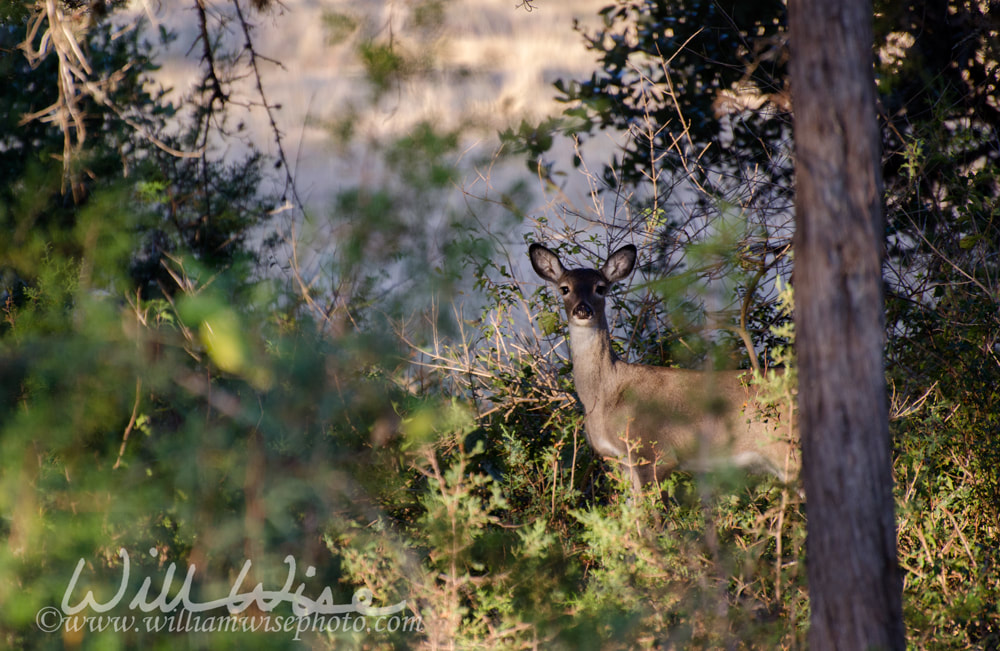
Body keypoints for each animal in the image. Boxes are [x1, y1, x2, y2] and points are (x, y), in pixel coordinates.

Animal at [528, 242, 800, 502]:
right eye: (565, 288)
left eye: (600, 288)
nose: (582, 310)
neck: (605, 396)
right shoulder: (621, 462)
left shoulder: (653, 453)